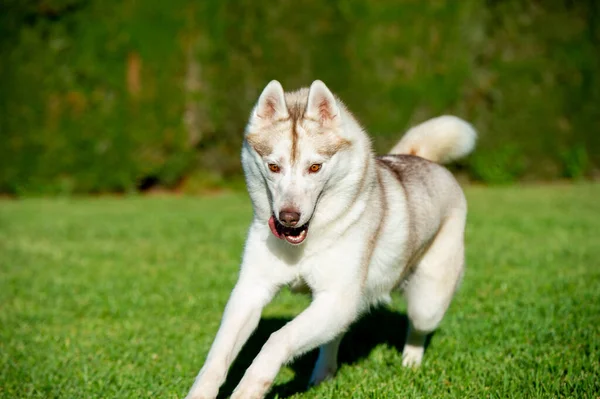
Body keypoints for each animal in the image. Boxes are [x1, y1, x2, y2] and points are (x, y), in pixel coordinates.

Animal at [185, 79, 476, 398]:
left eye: (315, 167)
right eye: (273, 167)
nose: (288, 217)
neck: (304, 245)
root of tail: (421, 158)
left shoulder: (337, 299)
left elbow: (277, 339)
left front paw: (247, 390)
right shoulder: (250, 291)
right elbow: (217, 356)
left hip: (427, 303)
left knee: (417, 328)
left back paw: (409, 364)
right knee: (335, 336)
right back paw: (323, 374)